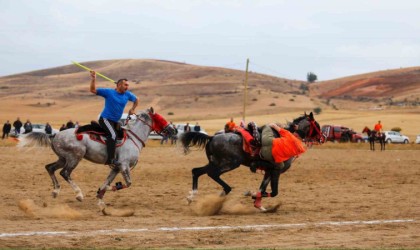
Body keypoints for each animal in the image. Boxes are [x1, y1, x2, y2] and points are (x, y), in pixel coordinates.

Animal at [180, 112, 322, 210]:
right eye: (317, 125)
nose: (322, 137)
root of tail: (211, 137)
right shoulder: (277, 170)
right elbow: (274, 192)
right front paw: (252, 194)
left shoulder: (269, 171)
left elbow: (263, 188)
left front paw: (259, 204)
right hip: (229, 163)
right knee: (212, 174)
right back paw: (223, 192)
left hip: (215, 162)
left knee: (196, 171)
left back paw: (192, 197)